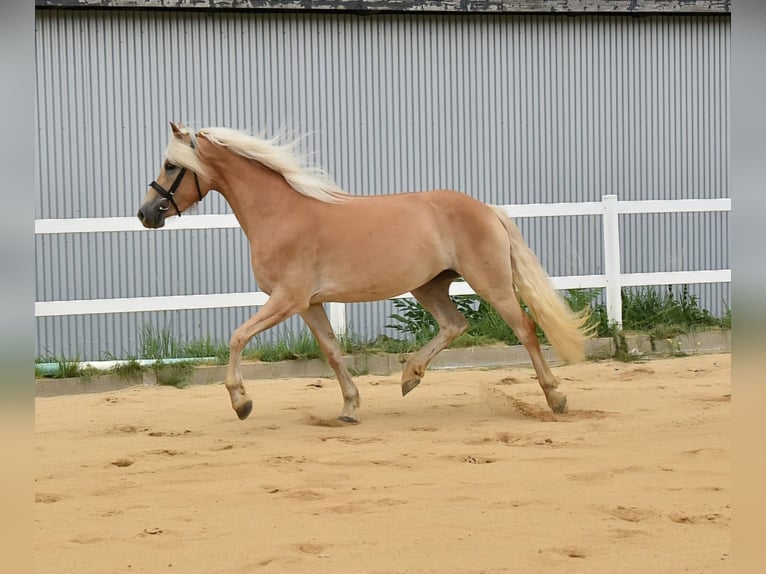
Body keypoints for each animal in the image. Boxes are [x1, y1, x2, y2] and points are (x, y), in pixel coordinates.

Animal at [140, 124, 592, 426]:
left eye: (170, 165)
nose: (145, 214)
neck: (281, 213)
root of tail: (488, 209)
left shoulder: (287, 298)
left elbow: (237, 337)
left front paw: (241, 403)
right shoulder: (309, 304)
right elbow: (332, 351)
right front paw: (349, 408)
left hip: (490, 282)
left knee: (525, 329)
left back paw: (556, 397)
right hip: (429, 286)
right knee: (454, 324)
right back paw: (410, 377)